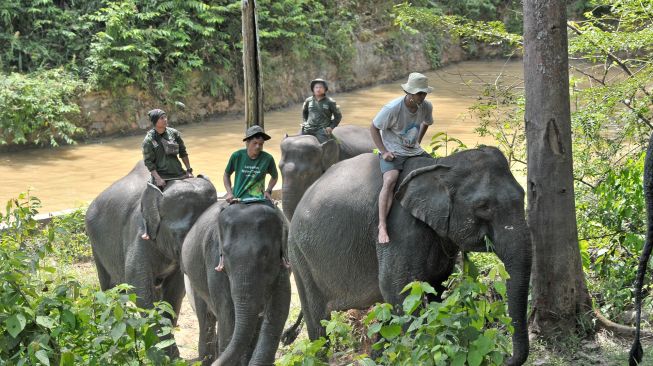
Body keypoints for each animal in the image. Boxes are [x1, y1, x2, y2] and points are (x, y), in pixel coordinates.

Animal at [83, 161, 216, 358]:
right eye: (181, 235)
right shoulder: (139, 233)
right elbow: (140, 290)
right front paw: (167, 356)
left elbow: (174, 293)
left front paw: (170, 353)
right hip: (96, 245)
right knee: (110, 288)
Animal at [180, 202, 290, 364]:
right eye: (224, 254)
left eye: (266, 254)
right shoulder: (213, 259)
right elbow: (227, 310)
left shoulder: (284, 263)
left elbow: (279, 307)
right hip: (193, 278)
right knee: (206, 317)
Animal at [288, 147, 532, 366]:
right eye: (483, 206)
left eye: (523, 195)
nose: (506, 358)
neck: (441, 165)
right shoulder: (398, 229)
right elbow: (396, 288)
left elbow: (437, 286)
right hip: (299, 256)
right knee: (317, 319)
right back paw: (321, 357)